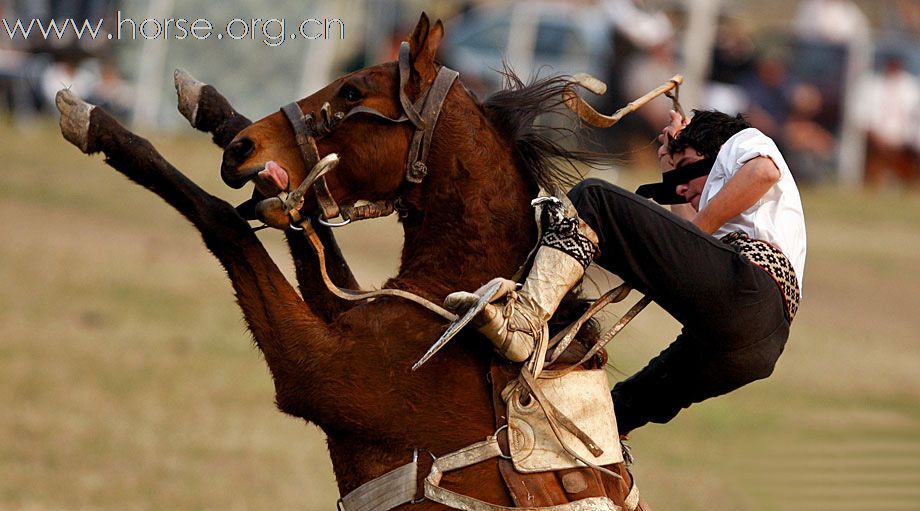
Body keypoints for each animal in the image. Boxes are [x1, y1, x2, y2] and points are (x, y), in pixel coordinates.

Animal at [57, 12, 640, 511]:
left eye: (353, 92)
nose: (241, 150)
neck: (460, 296)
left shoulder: (314, 369)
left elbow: (225, 222)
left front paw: (100, 125)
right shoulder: (344, 313)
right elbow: (309, 236)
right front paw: (211, 107)